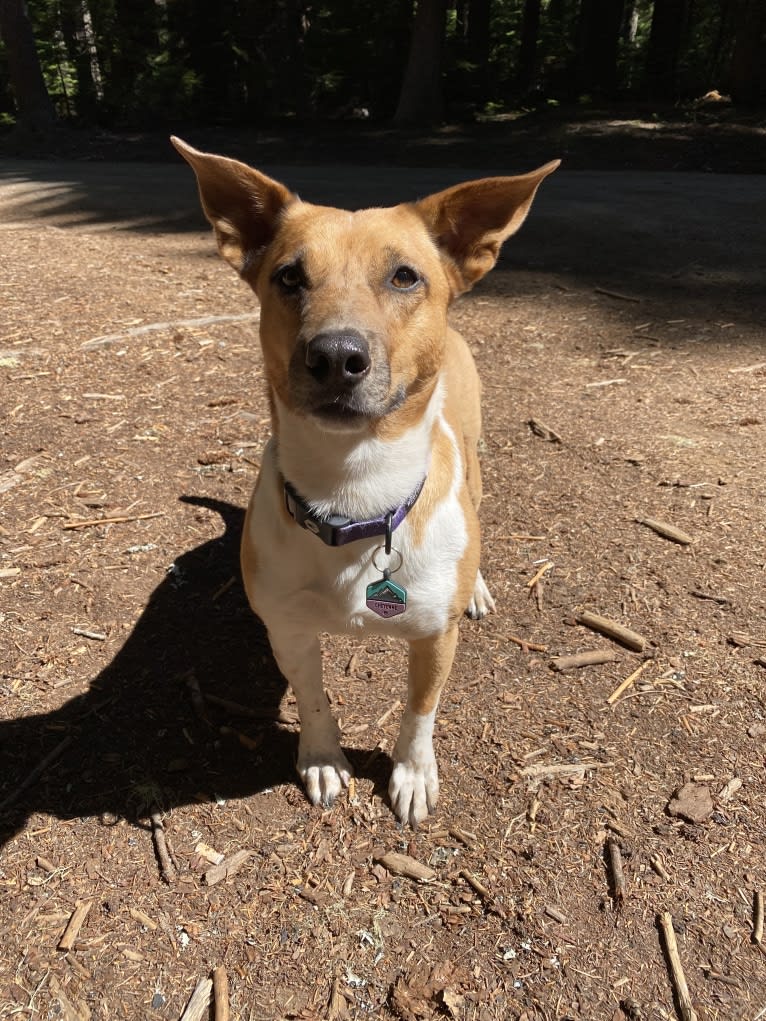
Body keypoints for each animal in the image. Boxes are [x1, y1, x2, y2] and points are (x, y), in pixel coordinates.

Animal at [172, 135, 559, 824]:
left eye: (405, 275)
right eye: (289, 276)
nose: (335, 356)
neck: (354, 496)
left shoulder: (434, 637)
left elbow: (420, 710)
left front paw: (412, 772)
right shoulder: (290, 630)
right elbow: (313, 697)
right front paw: (324, 759)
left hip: (476, 467)